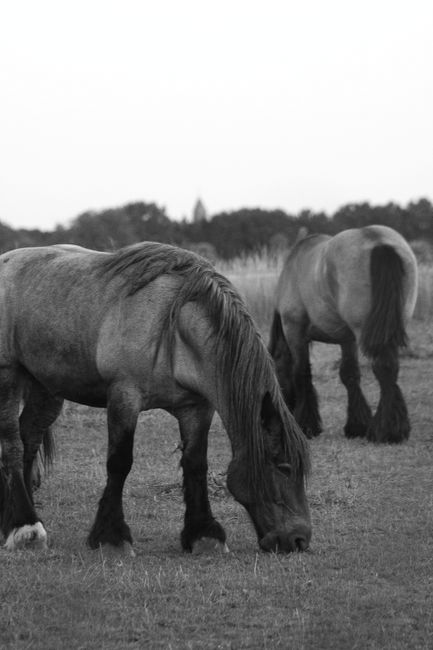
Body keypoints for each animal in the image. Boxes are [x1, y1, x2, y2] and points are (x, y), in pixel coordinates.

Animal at [0, 242, 311, 553]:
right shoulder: (125, 397)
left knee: (29, 440)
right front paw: (112, 536)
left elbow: (196, 463)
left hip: (46, 389)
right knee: (13, 445)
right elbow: (119, 462)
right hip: (9, 377)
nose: (299, 539)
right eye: (283, 467)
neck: (175, 331)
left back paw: (18, 519)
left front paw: (203, 533)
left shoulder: (197, 407)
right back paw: (25, 526)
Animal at [269, 225, 418, 443]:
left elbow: (301, 373)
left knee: (382, 367)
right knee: (390, 368)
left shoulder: (294, 330)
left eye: (276, 373)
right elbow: (350, 375)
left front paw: (306, 425)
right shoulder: (348, 339)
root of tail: (377, 239)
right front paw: (357, 425)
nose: (280, 411)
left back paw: (386, 430)